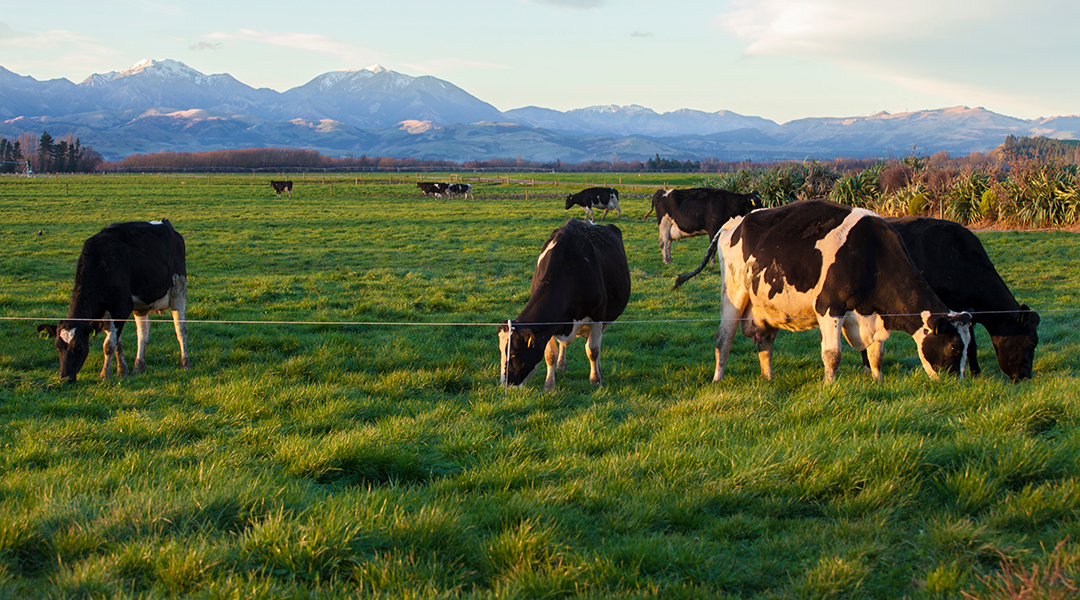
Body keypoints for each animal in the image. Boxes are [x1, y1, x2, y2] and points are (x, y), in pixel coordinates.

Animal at [37, 220, 191, 384]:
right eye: (57, 347)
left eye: (79, 347)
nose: (64, 377)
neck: (100, 265)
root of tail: (165, 224)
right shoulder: (106, 316)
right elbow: (118, 344)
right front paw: (122, 371)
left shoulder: (121, 308)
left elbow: (109, 345)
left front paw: (105, 374)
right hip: (141, 306)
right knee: (143, 334)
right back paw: (139, 367)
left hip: (178, 291)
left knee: (181, 330)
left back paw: (185, 363)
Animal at [498, 219, 631, 391]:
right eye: (501, 352)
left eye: (514, 353)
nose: (505, 384)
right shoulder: (547, 326)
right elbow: (550, 355)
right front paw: (549, 385)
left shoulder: (598, 316)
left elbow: (593, 350)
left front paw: (596, 381)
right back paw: (562, 365)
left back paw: (599, 371)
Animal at [674, 200, 972, 383]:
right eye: (955, 348)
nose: (956, 384)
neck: (871, 254)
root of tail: (733, 222)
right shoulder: (829, 307)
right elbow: (832, 355)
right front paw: (830, 387)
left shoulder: (875, 314)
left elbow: (876, 355)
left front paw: (879, 382)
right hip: (734, 295)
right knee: (723, 339)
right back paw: (717, 379)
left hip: (765, 305)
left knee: (765, 342)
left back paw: (768, 379)